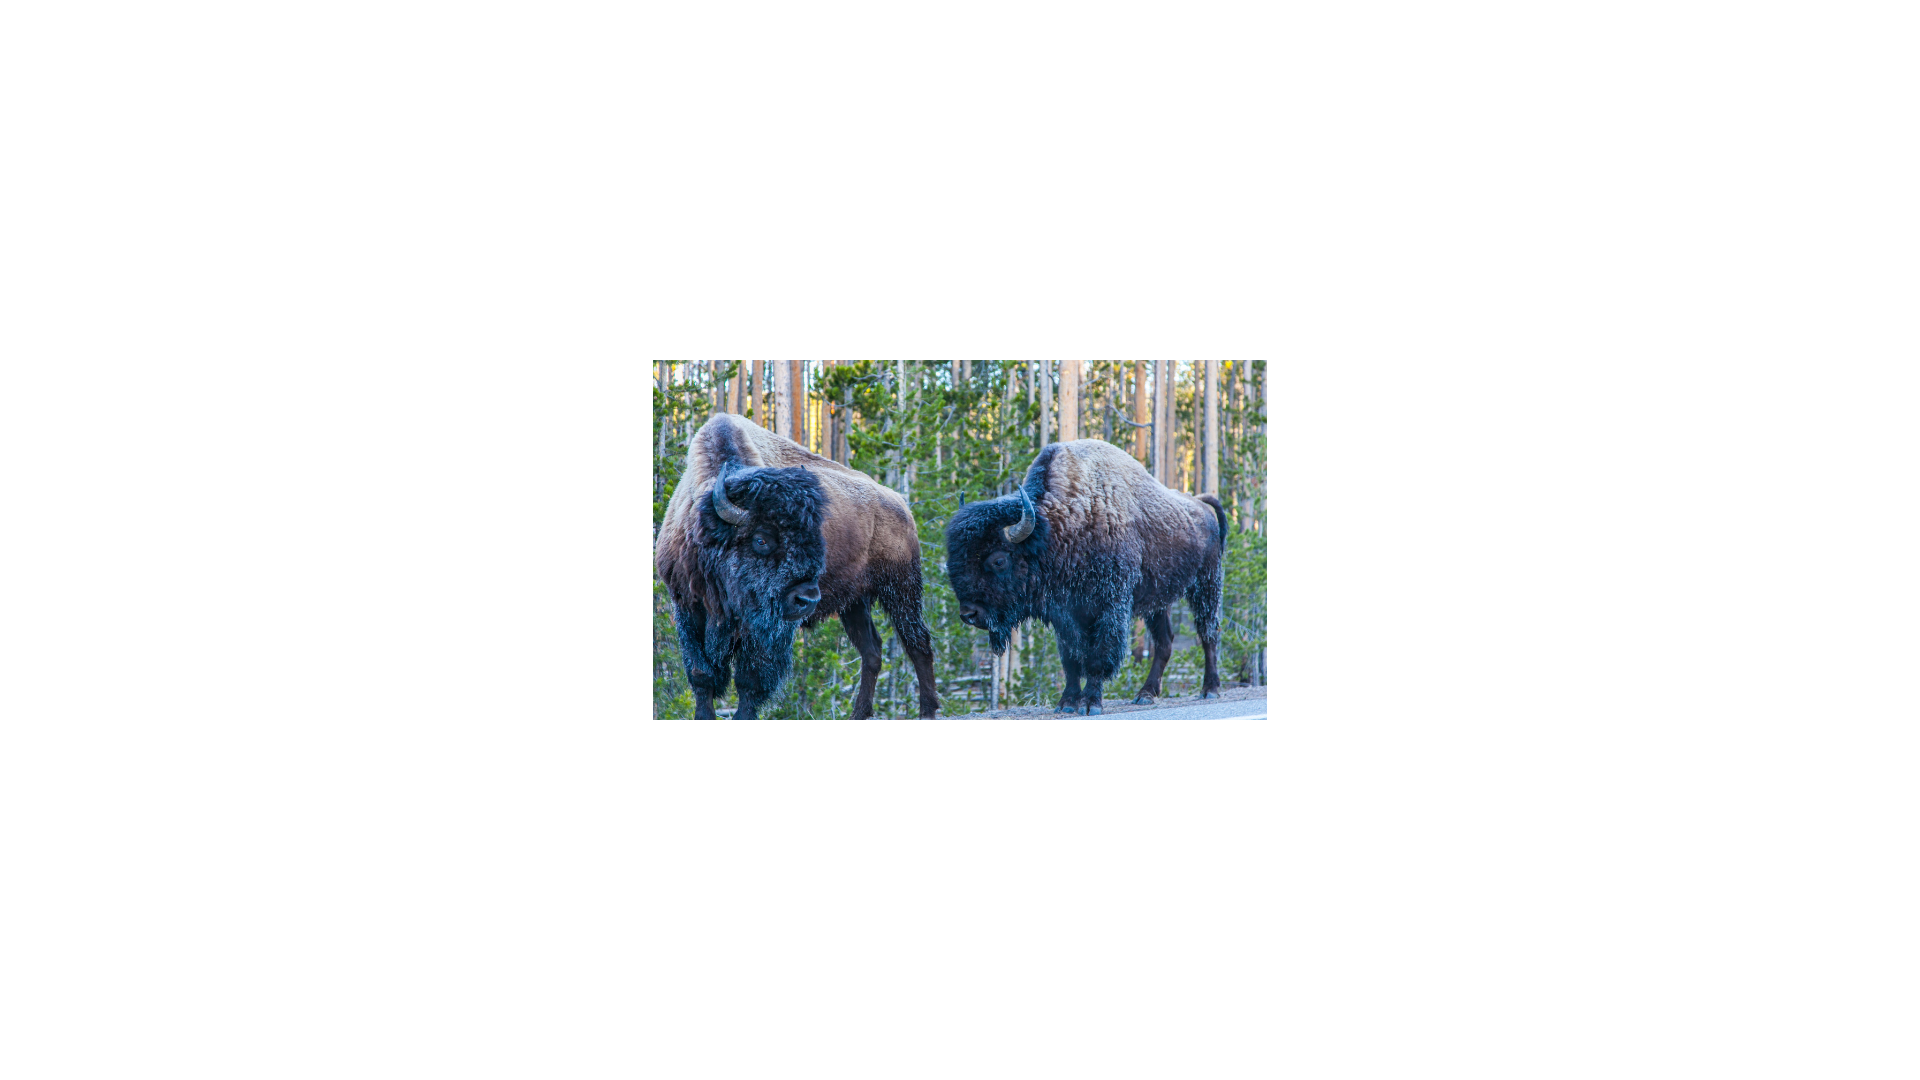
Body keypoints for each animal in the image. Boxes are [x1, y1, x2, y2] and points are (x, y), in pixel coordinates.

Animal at [656, 417, 940, 718]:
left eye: (816, 537)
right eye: (761, 539)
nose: (807, 599)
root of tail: (901, 504)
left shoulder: (767, 628)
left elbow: (749, 681)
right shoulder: (688, 606)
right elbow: (701, 675)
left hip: (901, 589)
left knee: (918, 643)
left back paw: (927, 710)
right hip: (855, 603)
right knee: (872, 651)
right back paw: (859, 713)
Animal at [936, 438, 1221, 714]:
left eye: (998, 560)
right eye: (953, 560)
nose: (969, 614)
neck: (1060, 526)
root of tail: (1200, 504)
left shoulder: (1109, 608)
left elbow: (1098, 656)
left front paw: (1091, 703)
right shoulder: (1063, 614)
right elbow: (1071, 659)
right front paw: (1067, 703)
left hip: (1206, 584)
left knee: (1208, 633)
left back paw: (1210, 689)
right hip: (1158, 602)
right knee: (1164, 642)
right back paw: (1145, 694)